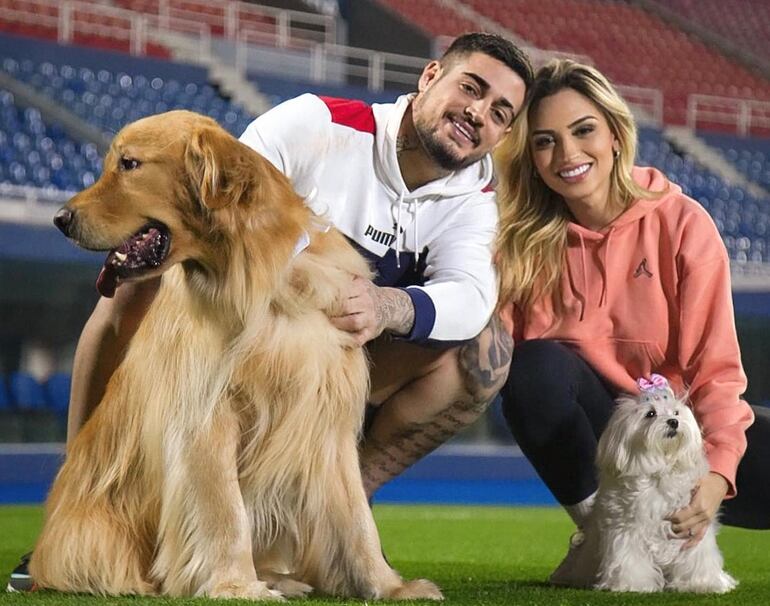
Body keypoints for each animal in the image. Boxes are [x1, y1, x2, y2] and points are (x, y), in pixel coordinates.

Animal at [548, 376, 736, 592]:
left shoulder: (692, 527)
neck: (659, 471)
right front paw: (634, 584)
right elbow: (630, 559)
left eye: (676, 412)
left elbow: (696, 558)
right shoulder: (626, 529)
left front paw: (702, 584)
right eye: (650, 414)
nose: (673, 422)